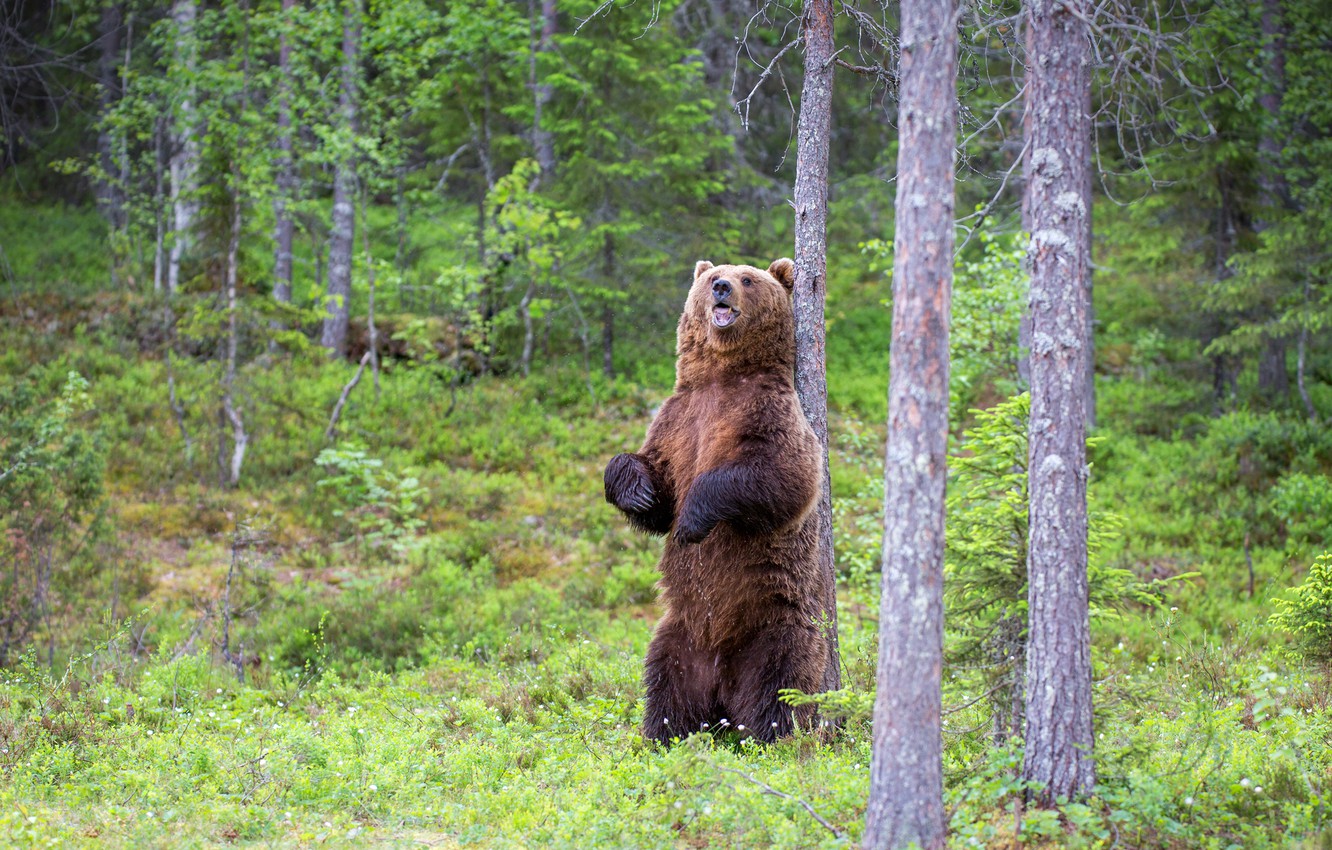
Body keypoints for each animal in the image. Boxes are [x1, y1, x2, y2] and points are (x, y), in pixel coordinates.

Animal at [604, 257, 830, 744]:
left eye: (748, 278)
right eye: (712, 277)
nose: (722, 286)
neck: (722, 376)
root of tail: (722, 684)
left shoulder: (769, 414)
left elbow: (783, 476)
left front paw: (692, 519)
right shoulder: (676, 420)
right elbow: (654, 485)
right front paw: (637, 489)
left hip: (774, 624)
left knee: (780, 682)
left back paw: (771, 737)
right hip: (680, 634)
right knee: (666, 683)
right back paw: (663, 735)